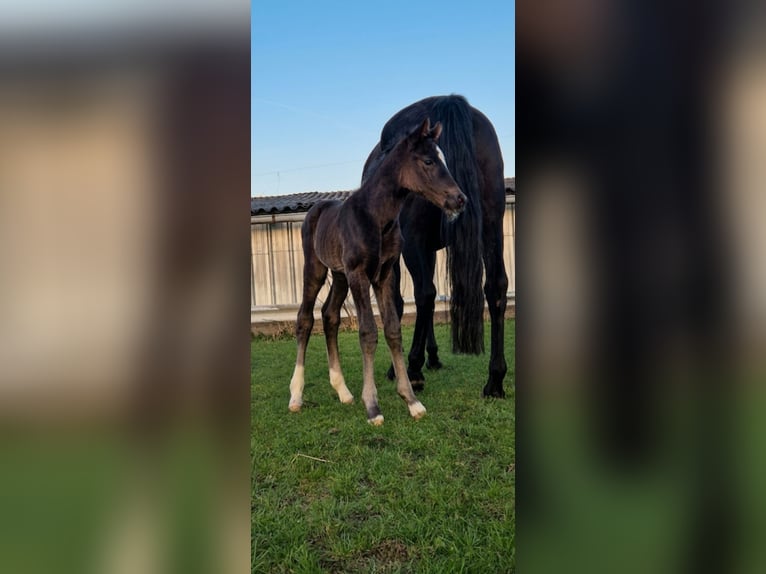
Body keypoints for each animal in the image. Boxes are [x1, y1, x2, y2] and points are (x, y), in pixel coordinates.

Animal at [288, 118, 467, 425]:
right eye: (429, 161)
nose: (459, 199)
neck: (374, 216)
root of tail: (316, 209)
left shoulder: (383, 275)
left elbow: (393, 330)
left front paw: (411, 400)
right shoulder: (359, 274)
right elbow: (368, 332)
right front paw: (372, 406)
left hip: (340, 276)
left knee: (329, 316)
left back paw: (343, 391)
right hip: (316, 268)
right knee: (305, 319)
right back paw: (296, 396)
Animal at [362, 95, 508, 398]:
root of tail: (450, 102)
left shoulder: (402, 248)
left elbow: (399, 301)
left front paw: (401, 367)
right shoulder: (427, 249)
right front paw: (433, 356)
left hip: (414, 241)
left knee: (425, 294)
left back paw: (414, 369)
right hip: (491, 225)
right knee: (496, 288)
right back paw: (495, 380)